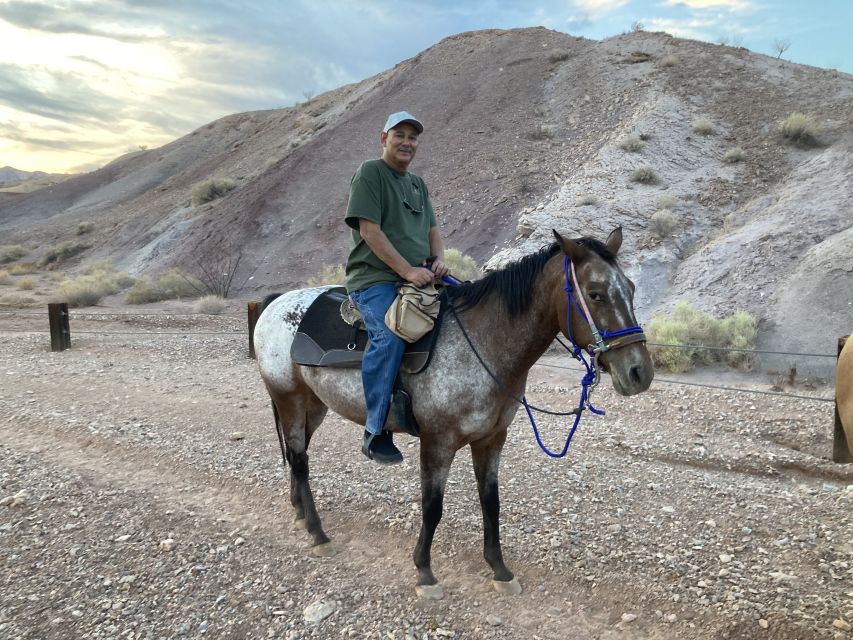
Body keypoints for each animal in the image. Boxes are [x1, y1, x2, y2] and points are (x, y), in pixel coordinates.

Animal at [253, 228, 652, 596]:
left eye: (632, 288)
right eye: (595, 293)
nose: (639, 372)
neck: (483, 343)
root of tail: (275, 303)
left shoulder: (491, 439)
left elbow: (491, 502)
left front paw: (500, 570)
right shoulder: (437, 442)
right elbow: (433, 507)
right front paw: (424, 572)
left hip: (313, 405)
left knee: (299, 455)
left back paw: (300, 513)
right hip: (288, 398)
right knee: (299, 459)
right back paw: (318, 533)